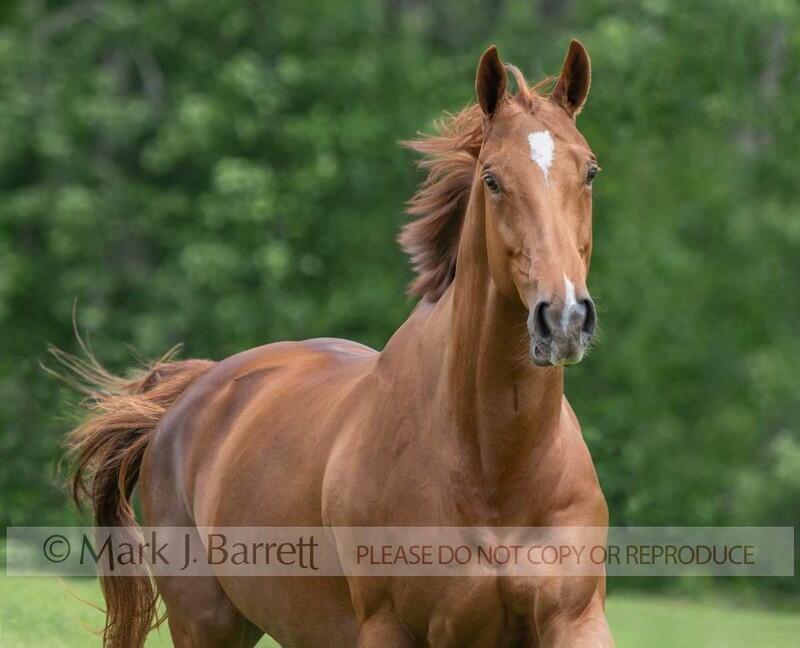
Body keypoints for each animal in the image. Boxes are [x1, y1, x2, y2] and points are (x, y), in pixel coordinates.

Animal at [59, 40, 614, 647]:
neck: (496, 470)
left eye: (589, 171)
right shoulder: (389, 627)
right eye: (492, 180)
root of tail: (190, 395)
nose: (564, 317)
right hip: (205, 623)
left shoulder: (575, 620)